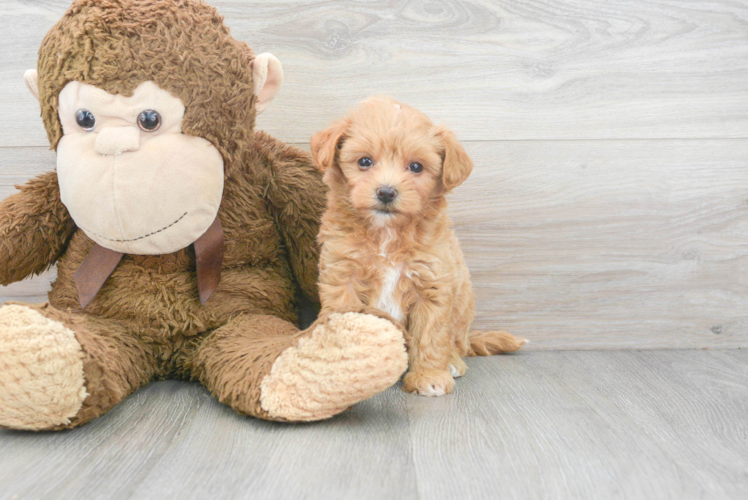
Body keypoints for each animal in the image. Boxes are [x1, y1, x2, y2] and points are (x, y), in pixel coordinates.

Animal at [306, 95, 524, 396]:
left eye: (416, 167)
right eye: (365, 161)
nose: (386, 192)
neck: (386, 233)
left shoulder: (431, 283)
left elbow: (431, 336)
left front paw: (429, 377)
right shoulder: (343, 275)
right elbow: (344, 325)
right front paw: (343, 370)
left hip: (463, 304)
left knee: (456, 343)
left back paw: (452, 362)